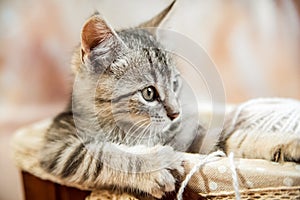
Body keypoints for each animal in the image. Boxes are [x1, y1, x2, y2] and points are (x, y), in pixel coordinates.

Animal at [39, 1, 300, 198]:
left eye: (174, 84)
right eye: (149, 93)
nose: (176, 113)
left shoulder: (191, 134)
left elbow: (233, 137)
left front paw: (284, 144)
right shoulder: (58, 145)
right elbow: (100, 155)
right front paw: (153, 164)